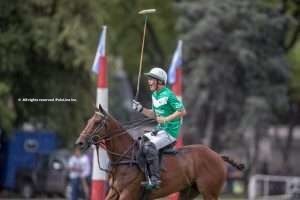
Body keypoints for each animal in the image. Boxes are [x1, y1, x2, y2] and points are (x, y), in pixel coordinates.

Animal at [75, 105, 244, 199]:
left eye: (97, 122)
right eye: (89, 121)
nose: (80, 142)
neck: (125, 157)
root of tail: (217, 155)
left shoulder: (128, 193)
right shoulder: (114, 192)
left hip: (210, 192)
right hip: (188, 191)